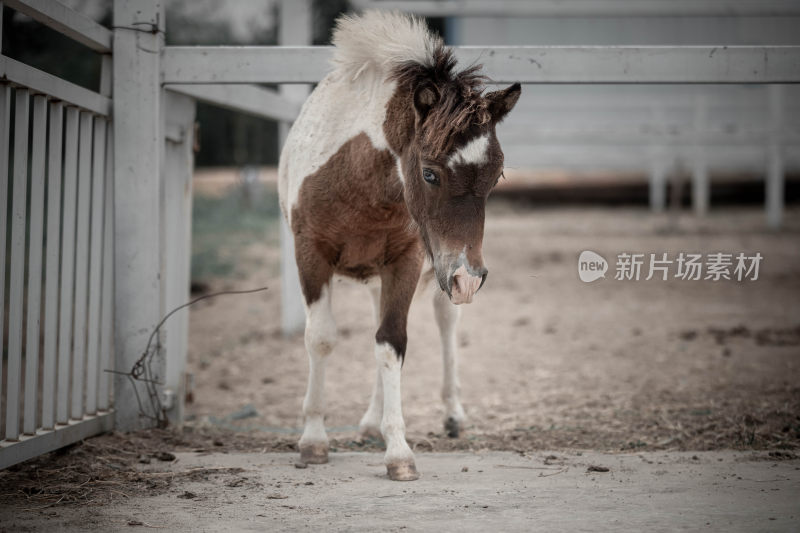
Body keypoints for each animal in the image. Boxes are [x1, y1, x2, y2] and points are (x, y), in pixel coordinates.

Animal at [278, 10, 520, 480]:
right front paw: (313, 441)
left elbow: (392, 341)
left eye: (496, 175)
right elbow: (321, 338)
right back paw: (370, 423)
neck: (358, 180)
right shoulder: (310, 254)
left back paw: (452, 415)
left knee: (444, 323)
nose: (468, 277)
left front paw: (399, 453)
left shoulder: (408, 261)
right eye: (429, 173)